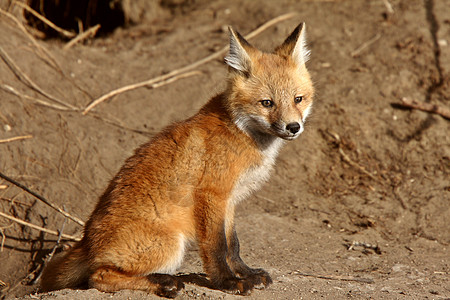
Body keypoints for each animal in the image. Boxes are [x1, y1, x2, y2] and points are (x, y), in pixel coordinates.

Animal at [39, 22, 312, 296]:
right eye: (267, 103)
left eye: (298, 99)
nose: (293, 127)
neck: (241, 130)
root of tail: (86, 242)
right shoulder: (211, 195)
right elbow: (217, 247)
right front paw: (226, 281)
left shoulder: (229, 200)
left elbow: (233, 245)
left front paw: (246, 273)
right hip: (170, 245)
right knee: (98, 277)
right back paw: (164, 282)